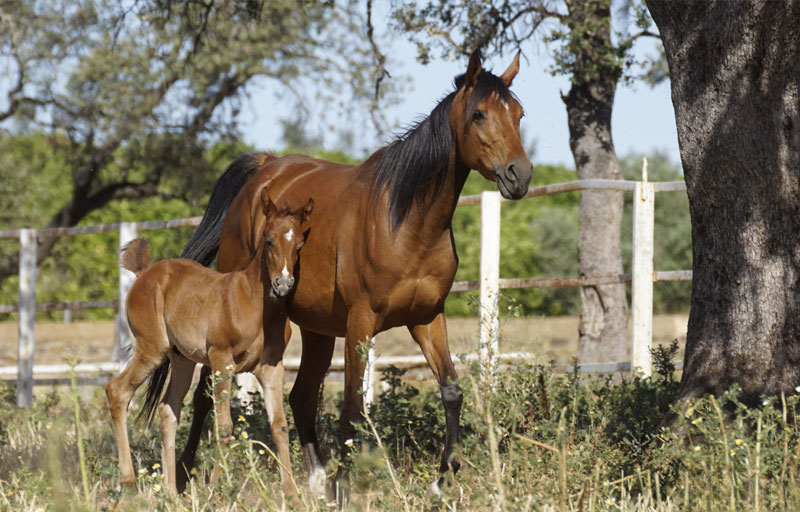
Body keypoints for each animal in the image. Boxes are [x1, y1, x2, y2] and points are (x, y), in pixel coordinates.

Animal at [103, 187, 310, 492]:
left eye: (298, 245)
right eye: (269, 240)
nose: (282, 284)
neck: (253, 302)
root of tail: (144, 274)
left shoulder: (272, 366)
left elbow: (280, 426)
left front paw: (292, 493)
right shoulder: (221, 361)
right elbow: (224, 428)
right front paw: (217, 490)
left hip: (182, 360)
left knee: (168, 410)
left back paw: (170, 492)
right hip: (151, 351)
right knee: (117, 390)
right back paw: (127, 480)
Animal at [146, 49, 532, 496]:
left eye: (519, 114)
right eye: (479, 115)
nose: (520, 175)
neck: (406, 221)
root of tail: (264, 170)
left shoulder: (427, 317)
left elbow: (451, 391)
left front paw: (442, 479)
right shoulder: (361, 322)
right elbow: (352, 407)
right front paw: (348, 485)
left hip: (316, 328)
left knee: (300, 397)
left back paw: (315, 483)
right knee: (207, 395)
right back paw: (186, 475)